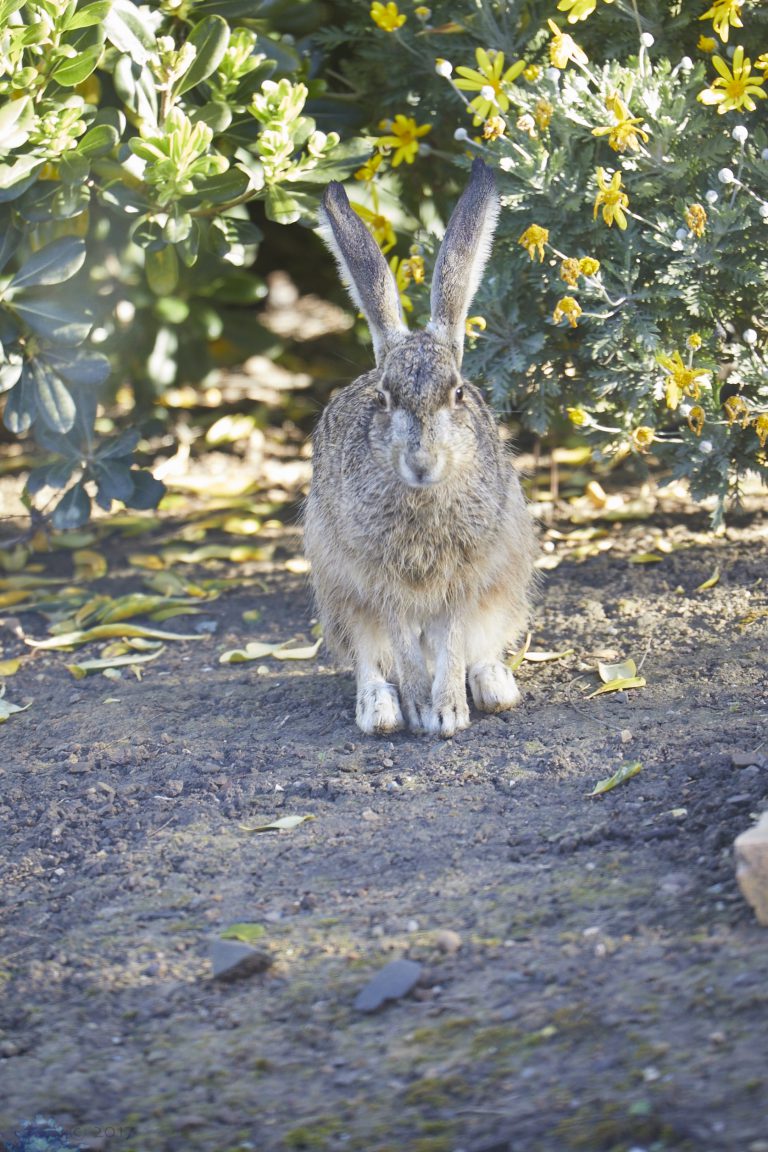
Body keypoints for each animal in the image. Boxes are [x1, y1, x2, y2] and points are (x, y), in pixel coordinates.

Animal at [304, 158, 538, 738]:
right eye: (384, 398)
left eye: (457, 393)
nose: (422, 463)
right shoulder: (376, 577)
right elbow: (401, 643)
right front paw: (418, 707)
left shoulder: (466, 575)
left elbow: (452, 641)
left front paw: (449, 712)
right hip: (335, 586)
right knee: (368, 654)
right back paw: (381, 710)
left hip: (506, 581)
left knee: (480, 644)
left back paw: (494, 686)